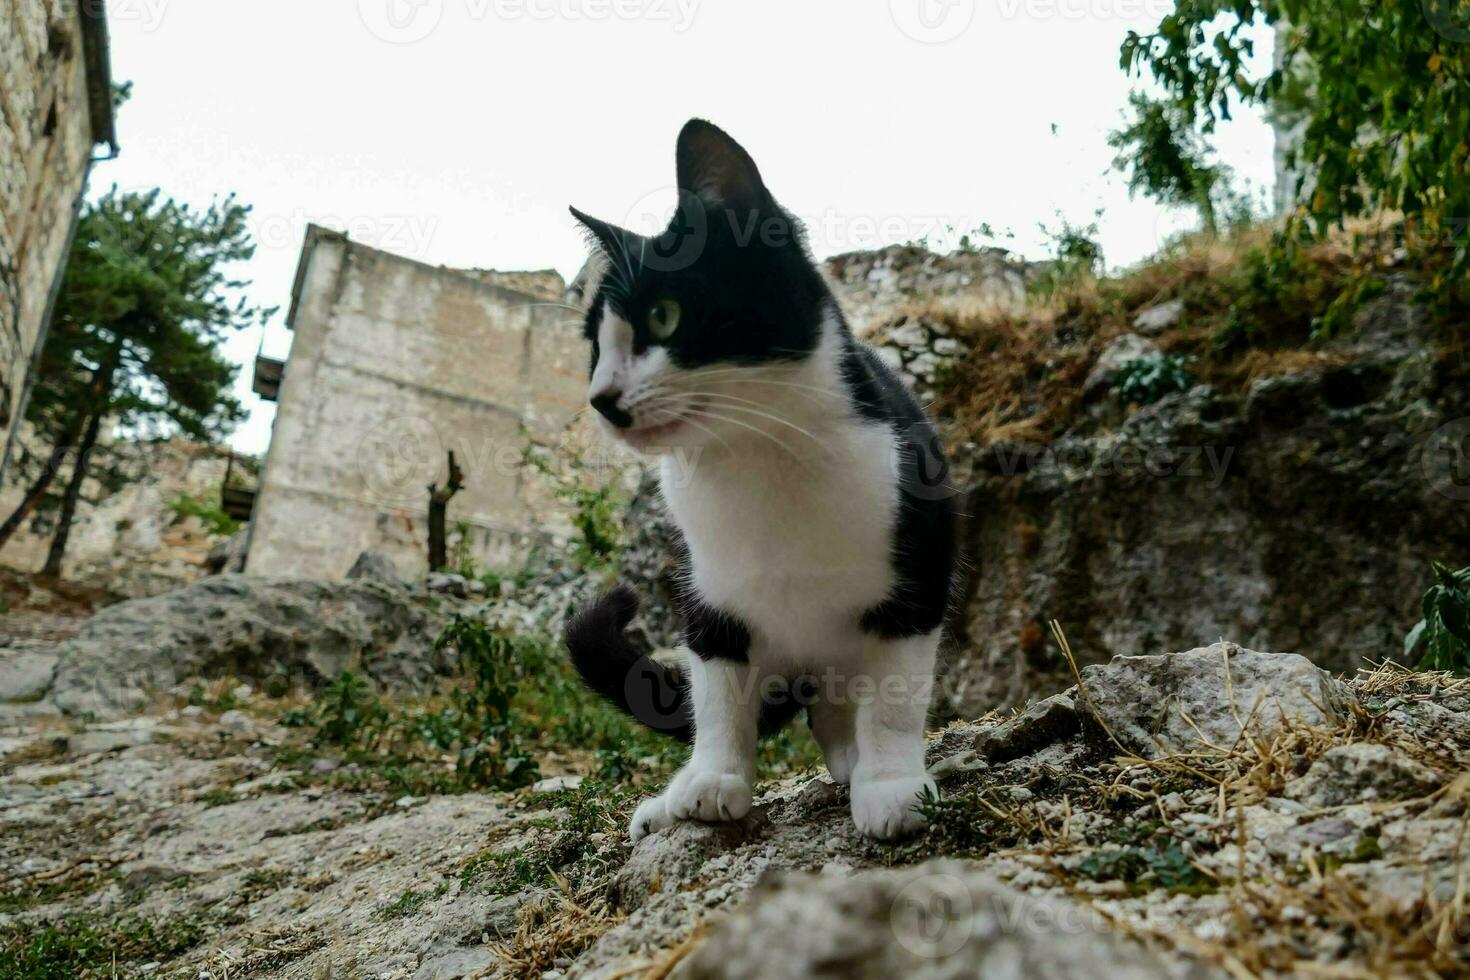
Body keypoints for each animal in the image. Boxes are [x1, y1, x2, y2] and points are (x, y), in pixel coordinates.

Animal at [558, 120, 952, 846]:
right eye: (595, 344)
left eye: (664, 316)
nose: (600, 398)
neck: (754, 456)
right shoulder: (706, 588)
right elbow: (717, 691)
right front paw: (712, 779)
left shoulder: (921, 563)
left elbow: (894, 694)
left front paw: (892, 784)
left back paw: (854, 760)